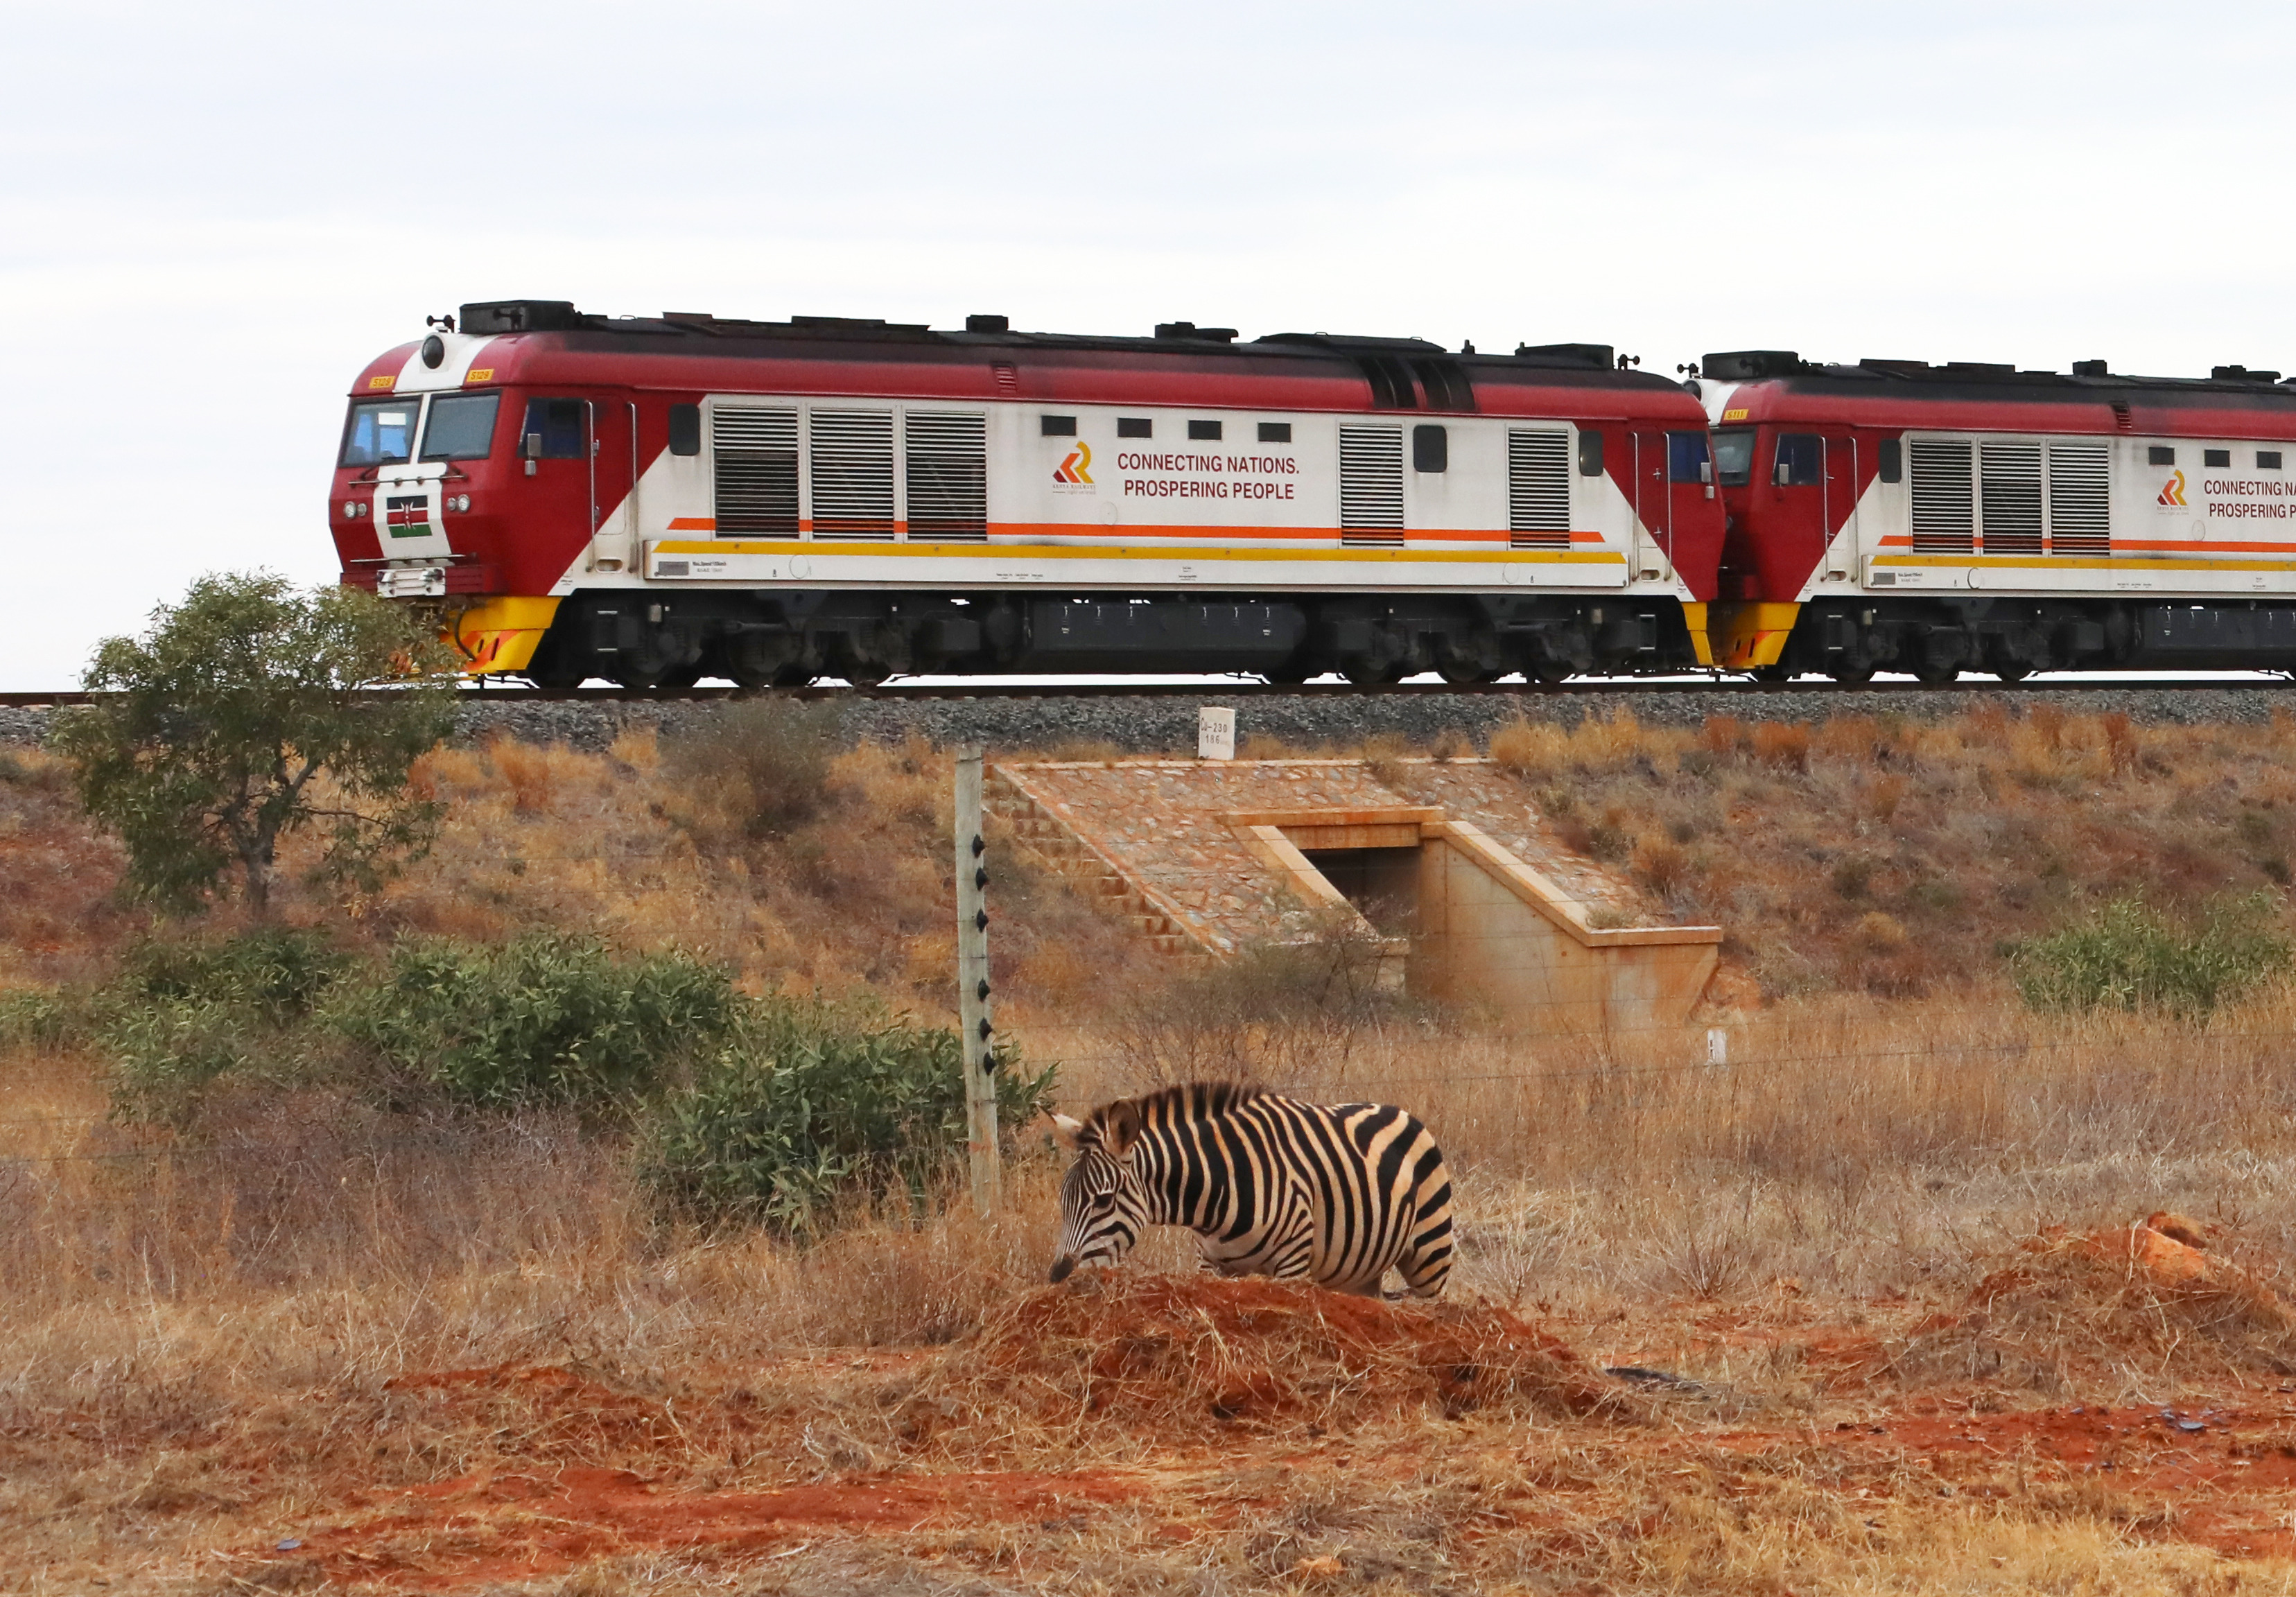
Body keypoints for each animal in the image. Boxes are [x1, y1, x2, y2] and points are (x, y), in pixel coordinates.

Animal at [1047, 1088, 1451, 1294]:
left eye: (1103, 1200)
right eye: (1062, 1201)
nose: (1058, 1277)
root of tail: (1396, 1109)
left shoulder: (1293, 1261)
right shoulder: (1211, 1264)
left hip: (1430, 1254)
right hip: (1359, 1273)